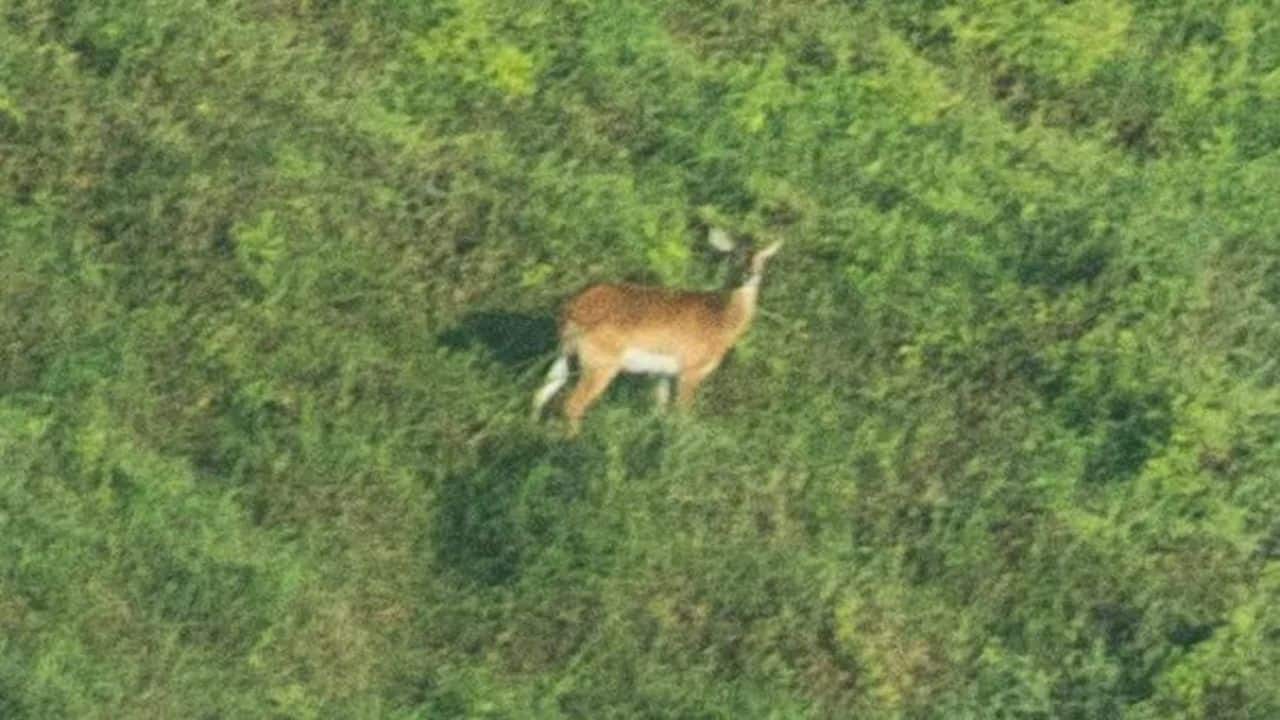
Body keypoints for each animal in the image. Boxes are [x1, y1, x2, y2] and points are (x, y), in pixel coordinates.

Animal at [532, 232, 782, 436]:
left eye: (762, 258)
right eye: (734, 256)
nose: (749, 274)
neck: (720, 320)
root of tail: (572, 308)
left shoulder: (663, 374)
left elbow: (660, 413)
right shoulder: (689, 372)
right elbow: (683, 417)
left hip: (565, 354)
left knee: (541, 393)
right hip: (600, 364)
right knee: (572, 404)